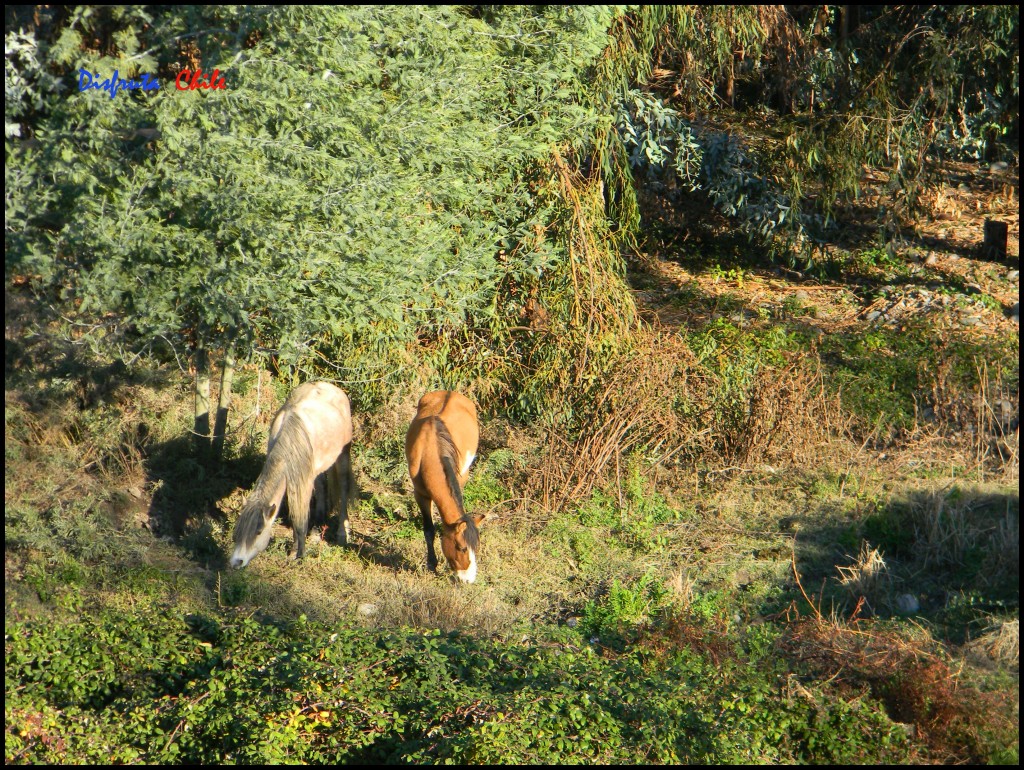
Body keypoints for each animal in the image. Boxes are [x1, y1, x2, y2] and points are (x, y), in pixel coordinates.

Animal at [230, 382, 358, 569]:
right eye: (238, 530)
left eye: (258, 531)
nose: (236, 562)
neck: (289, 443)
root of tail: (332, 387)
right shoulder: (293, 479)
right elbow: (295, 513)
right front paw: (295, 550)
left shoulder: (302, 482)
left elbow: (300, 518)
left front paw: (298, 554)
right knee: (322, 488)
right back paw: (316, 530)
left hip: (343, 456)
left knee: (343, 488)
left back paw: (343, 533)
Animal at [403, 391, 483, 581]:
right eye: (462, 548)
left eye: (476, 548)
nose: (469, 579)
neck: (430, 448)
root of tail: (450, 392)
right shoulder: (420, 494)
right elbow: (429, 530)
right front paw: (432, 565)